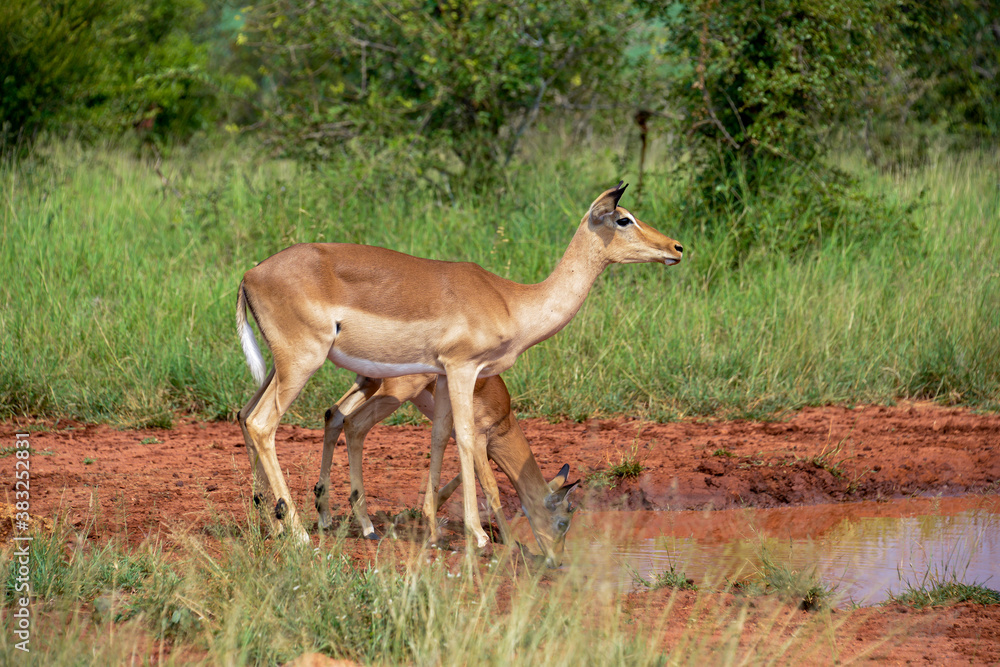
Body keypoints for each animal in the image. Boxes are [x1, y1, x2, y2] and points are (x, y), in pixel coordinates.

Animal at [236, 182, 683, 546]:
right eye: (623, 218)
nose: (676, 248)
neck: (511, 301)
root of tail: (250, 274)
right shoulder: (463, 369)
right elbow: (467, 441)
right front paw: (480, 537)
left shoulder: (443, 375)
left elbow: (438, 440)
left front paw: (436, 536)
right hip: (303, 363)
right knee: (264, 423)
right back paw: (300, 533)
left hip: (281, 368)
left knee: (247, 414)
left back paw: (276, 523)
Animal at [315, 373, 579, 567]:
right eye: (562, 522)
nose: (557, 561)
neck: (503, 419)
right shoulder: (479, 439)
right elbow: (490, 487)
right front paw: (511, 543)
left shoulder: (475, 444)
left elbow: (463, 473)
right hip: (395, 392)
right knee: (353, 422)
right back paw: (367, 526)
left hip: (368, 383)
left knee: (334, 414)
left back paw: (324, 511)